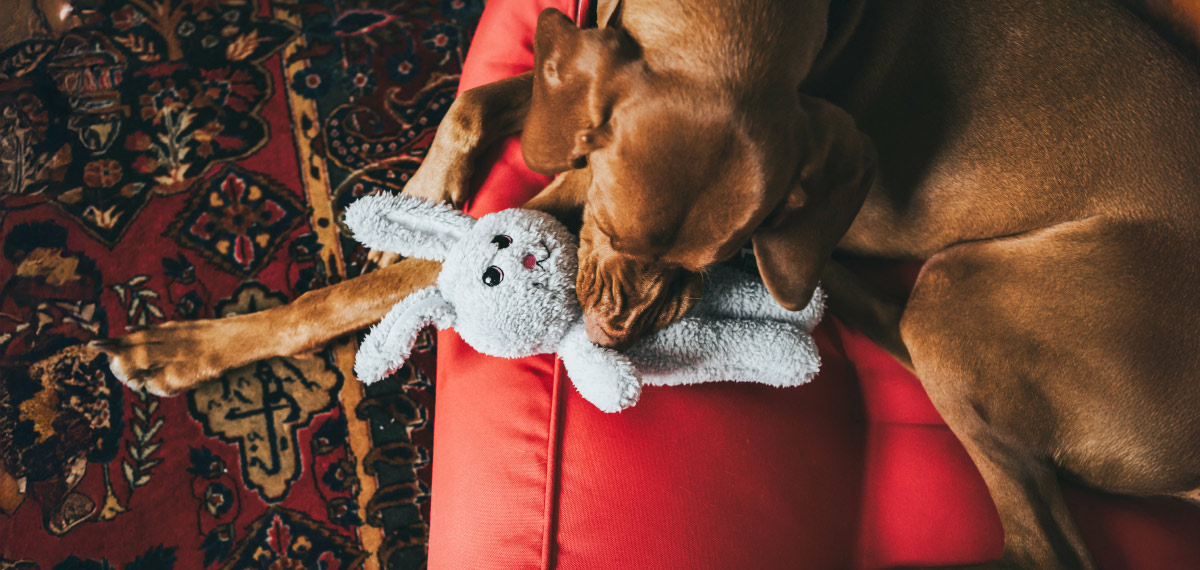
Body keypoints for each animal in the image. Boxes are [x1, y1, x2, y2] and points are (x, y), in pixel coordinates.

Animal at [94, 1, 1200, 568]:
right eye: (621, 237)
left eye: (710, 265)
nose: (616, 342)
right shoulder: (579, 100)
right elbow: (481, 98)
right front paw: (424, 186)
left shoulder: (576, 183)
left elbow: (402, 276)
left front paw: (190, 349)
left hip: (961, 296)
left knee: (1048, 545)